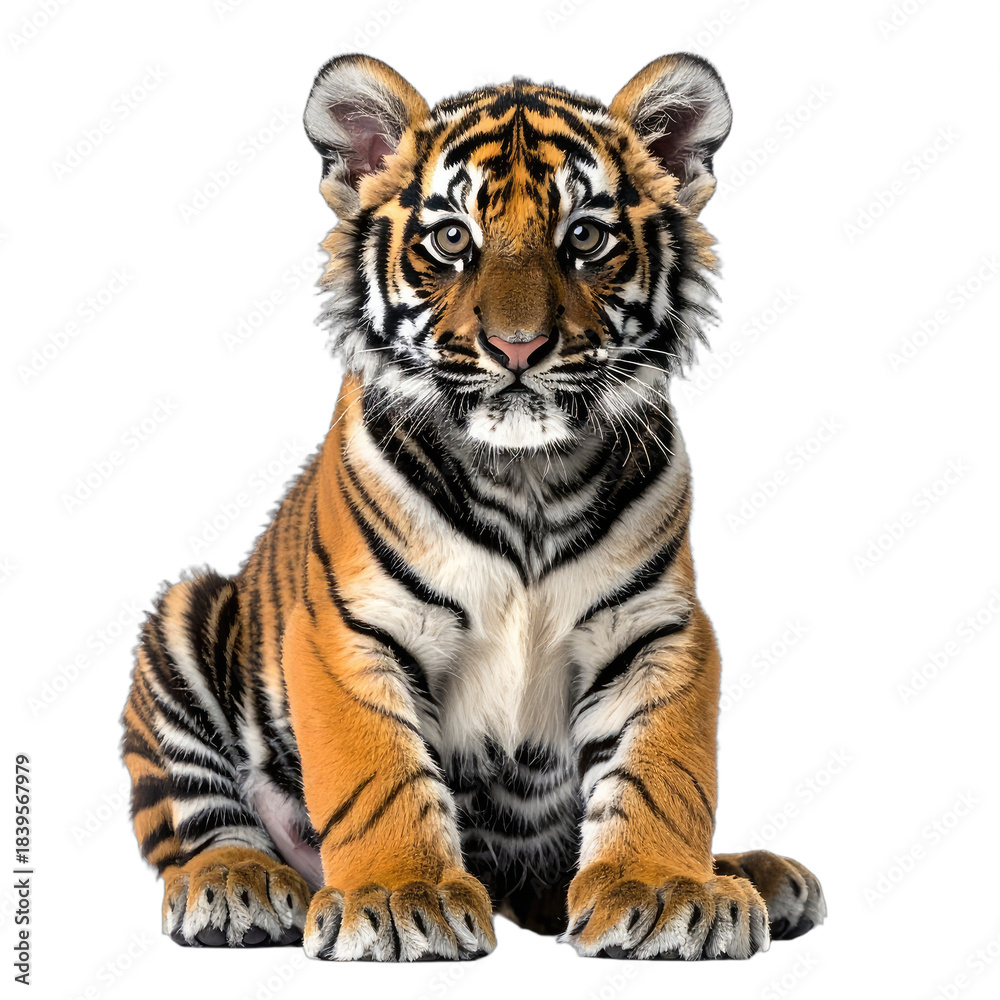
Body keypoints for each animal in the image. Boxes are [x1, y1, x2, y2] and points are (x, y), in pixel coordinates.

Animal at [120, 52, 826, 962]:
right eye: (452, 239)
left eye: (585, 238)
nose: (518, 348)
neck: (528, 478)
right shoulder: (350, 630)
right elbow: (378, 774)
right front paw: (399, 896)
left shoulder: (657, 629)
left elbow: (663, 771)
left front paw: (666, 891)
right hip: (185, 620)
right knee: (198, 820)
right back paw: (239, 883)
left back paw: (755, 875)